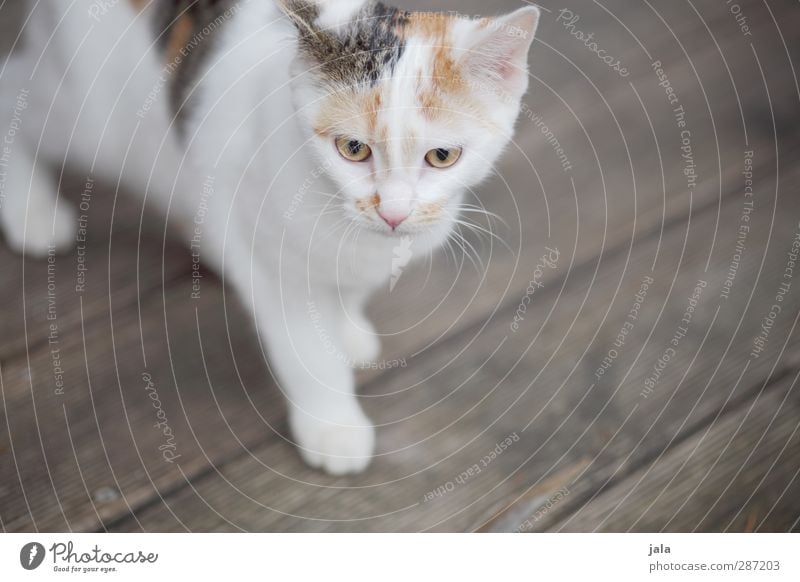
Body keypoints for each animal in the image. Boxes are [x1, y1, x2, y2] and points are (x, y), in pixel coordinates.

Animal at [0, 0, 540, 474]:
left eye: (442, 156)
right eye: (352, 148)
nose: (393, 212)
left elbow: (346, 292)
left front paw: (347, 328)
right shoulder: (278, 271)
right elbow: (307, 352)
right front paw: (333, 426)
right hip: (101, 122)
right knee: (16, 92)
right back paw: (32, 212)